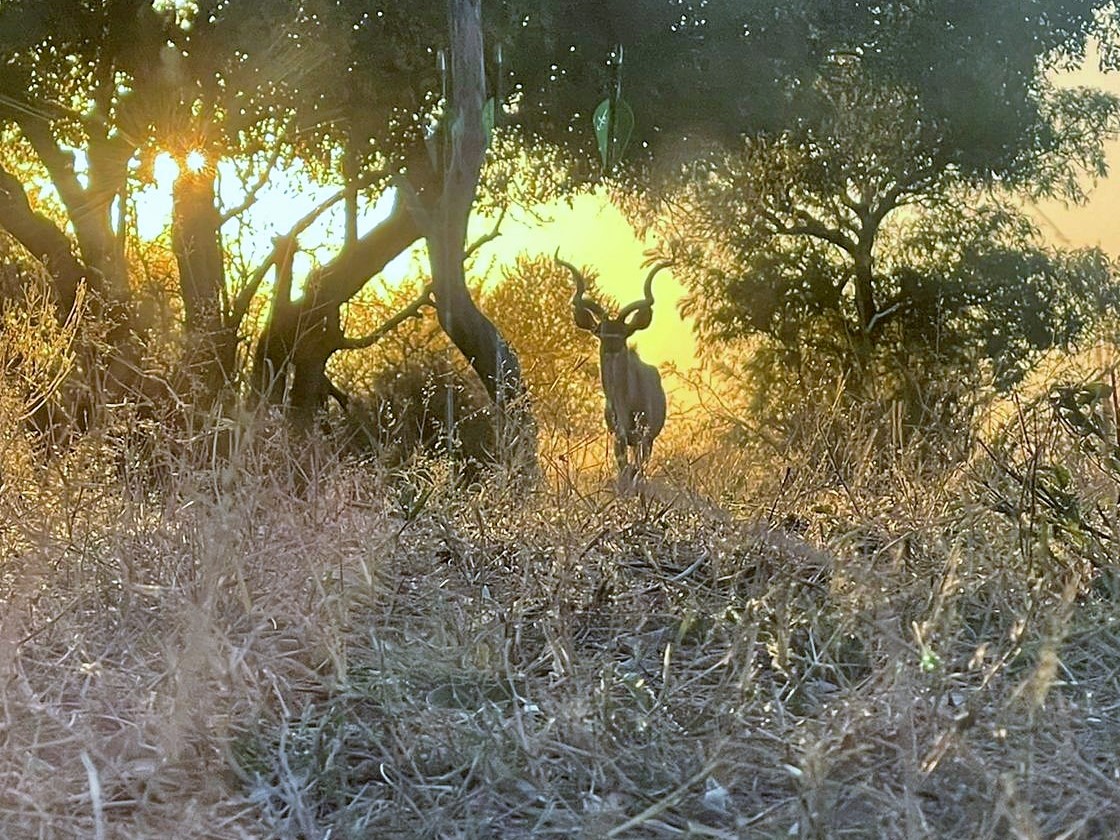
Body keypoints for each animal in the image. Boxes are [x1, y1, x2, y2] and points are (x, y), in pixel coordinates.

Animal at [555, 253, 667, 483]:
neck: (625, 402)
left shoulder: (644, 435)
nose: (610, 345)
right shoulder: (618, 434)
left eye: (624, 333)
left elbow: (636, 471)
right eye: (600, 330)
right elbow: (624, 468)